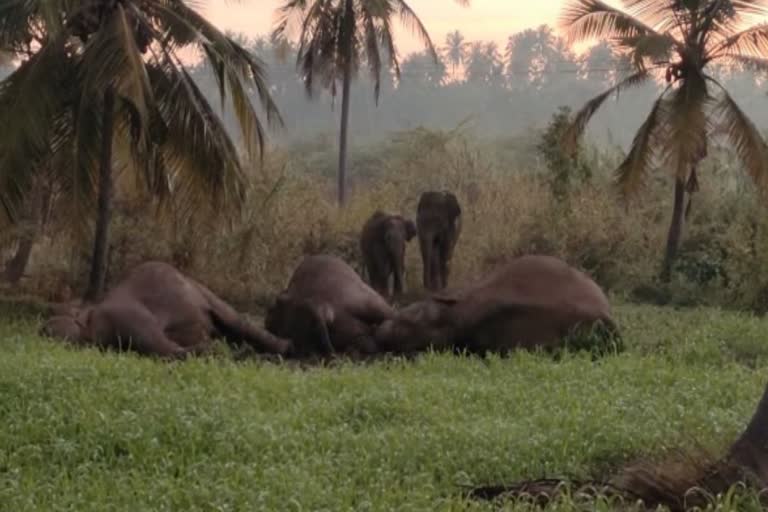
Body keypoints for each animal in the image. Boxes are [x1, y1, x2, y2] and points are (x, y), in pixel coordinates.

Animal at [39, 260, 292, 360]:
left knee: (235, 321)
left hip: (201, 290)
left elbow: (165, 349)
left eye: (50, 331)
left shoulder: (124, 316)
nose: (43, 334)